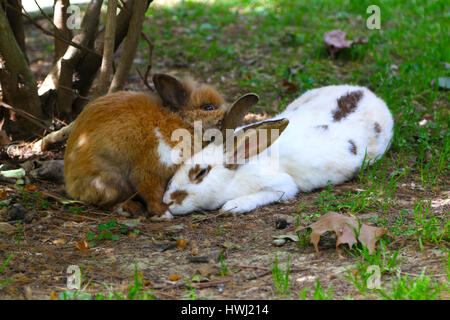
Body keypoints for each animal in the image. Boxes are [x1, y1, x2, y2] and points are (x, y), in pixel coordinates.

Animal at [64, 73, 258, 218]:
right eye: (208, 107)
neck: (182, 123)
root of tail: (71, 185)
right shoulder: (149, 170)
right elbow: (153, 193)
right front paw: (164, 213)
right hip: (110, 182)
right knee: (107, 202)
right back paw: (130, 209)